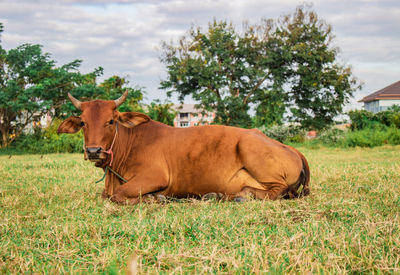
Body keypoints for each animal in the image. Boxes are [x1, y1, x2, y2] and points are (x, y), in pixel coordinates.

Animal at [57, 92, 310, 205]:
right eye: (83, 123)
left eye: (110, 121)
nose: (93, 151)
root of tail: (291, 148)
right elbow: (106, 195)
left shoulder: (156, 176)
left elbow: (118, 195)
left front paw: (155, 198)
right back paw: (216, 195)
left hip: (251, 151)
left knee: (278, 191)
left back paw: (243, 195)